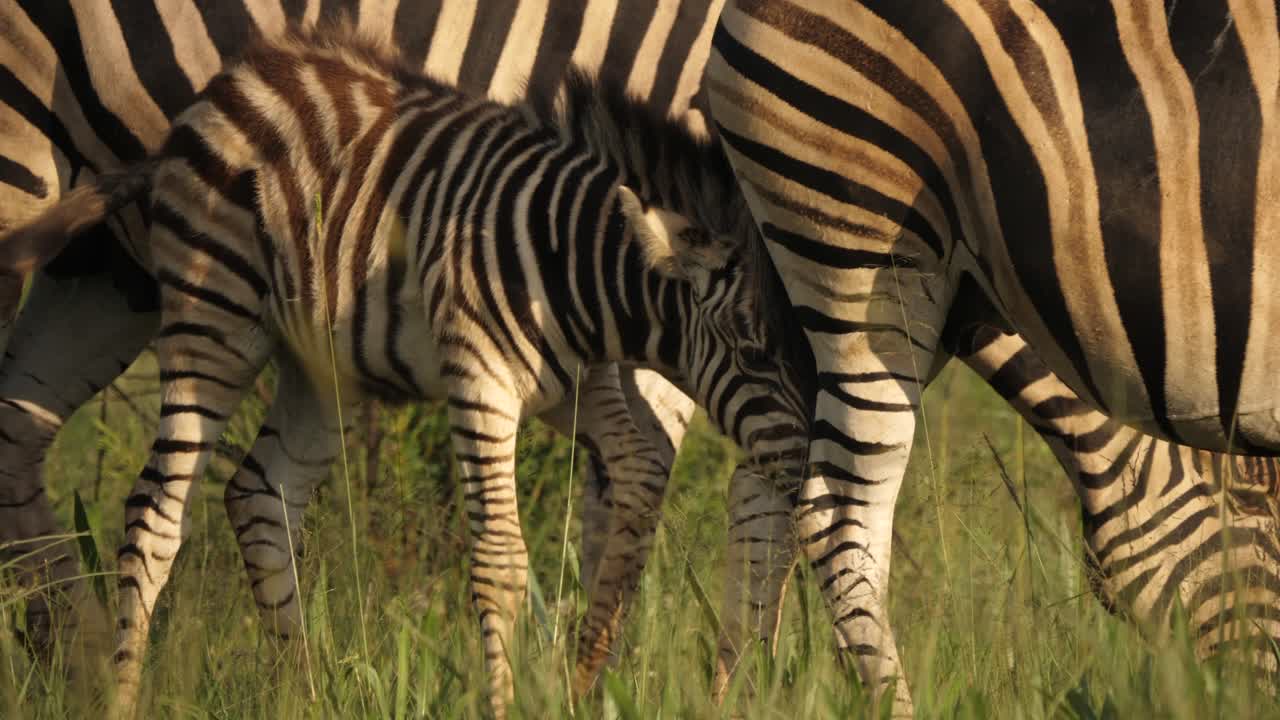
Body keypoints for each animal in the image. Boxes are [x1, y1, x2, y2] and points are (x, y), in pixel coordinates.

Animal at [0, 24, 809, 716]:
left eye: (803, 357)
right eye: (753, 352)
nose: (809, 469)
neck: (572, 269)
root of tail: (218, 91)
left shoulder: (575, 387)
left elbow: (637, 476)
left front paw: (583, 673)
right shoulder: (481, 382)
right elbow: (501, 560)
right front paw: (513, 699)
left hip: (318, 363)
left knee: (259, 493)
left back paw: (306, 696)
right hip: (213, 316)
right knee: (154, 513)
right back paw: (122, 695)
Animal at [706, 0, 1280, 713]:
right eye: (1254, 503)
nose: (1260, 692)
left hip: (911, 288)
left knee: (771, 480)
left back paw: (736, 698)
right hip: (860, 243)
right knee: (838, 517)